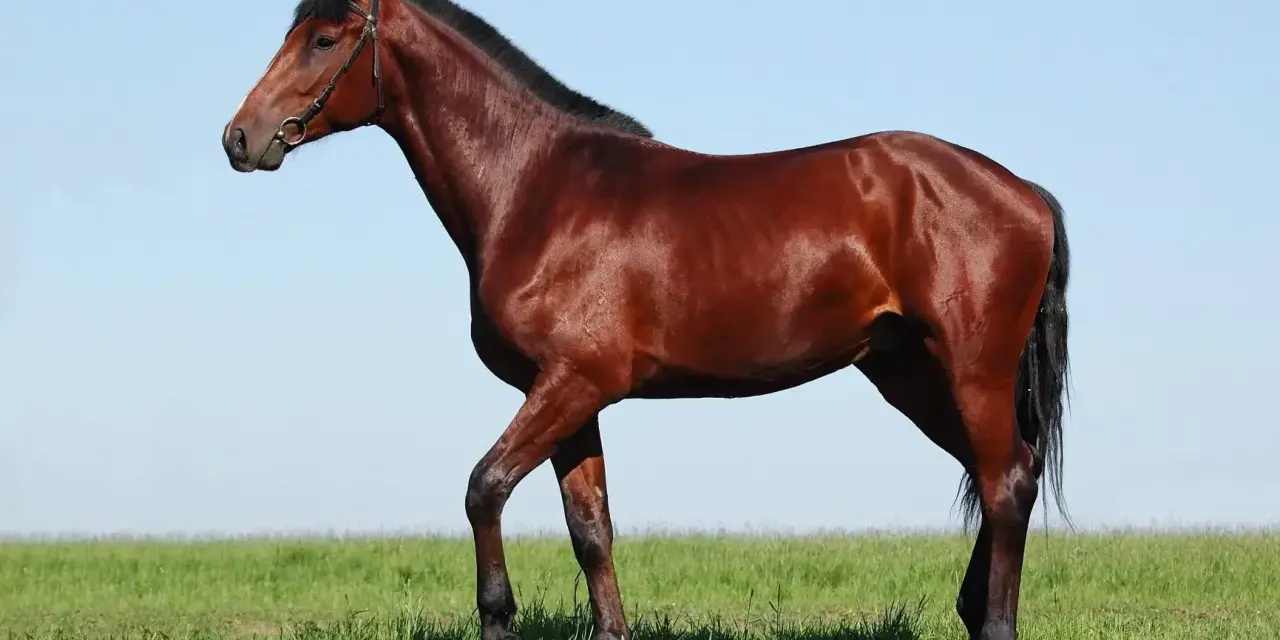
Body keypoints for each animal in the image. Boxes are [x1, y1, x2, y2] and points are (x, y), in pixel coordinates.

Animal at [220, 1, 1071, 638]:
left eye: (324, 39)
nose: (239, 138)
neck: (537, 190)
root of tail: (1024, 191)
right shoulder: (570, 395)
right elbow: (590, 529)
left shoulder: (572, 382)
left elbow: (483, 489)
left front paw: (497, 615)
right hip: (908, 374)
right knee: (1004, 473)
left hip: (971, 370)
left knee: (1004, 483)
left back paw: (994, 621)